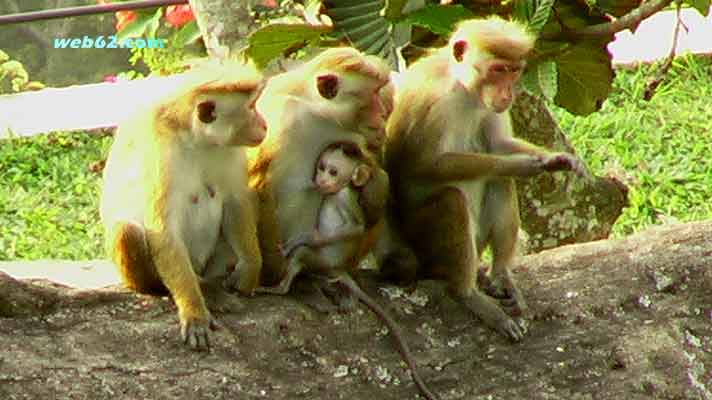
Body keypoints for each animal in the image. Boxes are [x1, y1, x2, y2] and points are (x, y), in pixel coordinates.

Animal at [98, 60, 266, 350]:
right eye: (251, 107)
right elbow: (163, 231)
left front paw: (250, 268)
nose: (265, 124)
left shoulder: (230, 150)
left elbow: (236, 201)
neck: (198, 140)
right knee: (127, 231)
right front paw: (194, 312)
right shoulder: (162, 156)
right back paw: (195, 289)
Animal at [249, 47, 394, 288]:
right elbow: (258, 181)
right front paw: (272, 270)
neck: (319, 113)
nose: (383, 113)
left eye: (379, 90)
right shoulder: (279, 117)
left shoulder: (356, 135)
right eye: (373, 94)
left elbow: (373, 172)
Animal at [256, 145, 434, 400]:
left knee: (302, 254)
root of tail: (338, 269)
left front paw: (305, 237)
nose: (321, 179)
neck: (338, 190)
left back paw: (280, 287)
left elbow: (355, 227)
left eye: (333, 171)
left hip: (321, 260)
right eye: (321, 167)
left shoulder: (343, 199)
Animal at [386, 16, 588, 340]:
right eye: (498, 70)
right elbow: (426, 163)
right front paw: (521, 165)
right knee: (453, 199)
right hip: (423, 245)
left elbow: (497, 143)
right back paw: (468, 293)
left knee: (499, 183)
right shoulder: (435, 101)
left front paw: (556, 159)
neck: (464, 86)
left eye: (514, 71)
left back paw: (500, 274)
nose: (508, 94)